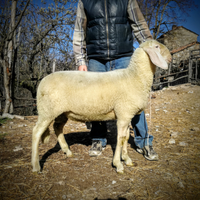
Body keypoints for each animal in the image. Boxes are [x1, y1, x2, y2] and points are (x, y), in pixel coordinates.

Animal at [32, 39, 171, 173]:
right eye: (157, 47)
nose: (170, 58)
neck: (135, 76)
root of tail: (42, 81)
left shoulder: (127, 115)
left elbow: (125, 138)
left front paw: (126, 159)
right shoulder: (123, 114)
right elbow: (120, 139)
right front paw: (118, 165)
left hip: (61, 112)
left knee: (57, 128)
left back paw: (68, 151)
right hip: (46, 111)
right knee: (36, 132)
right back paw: (36, 166)